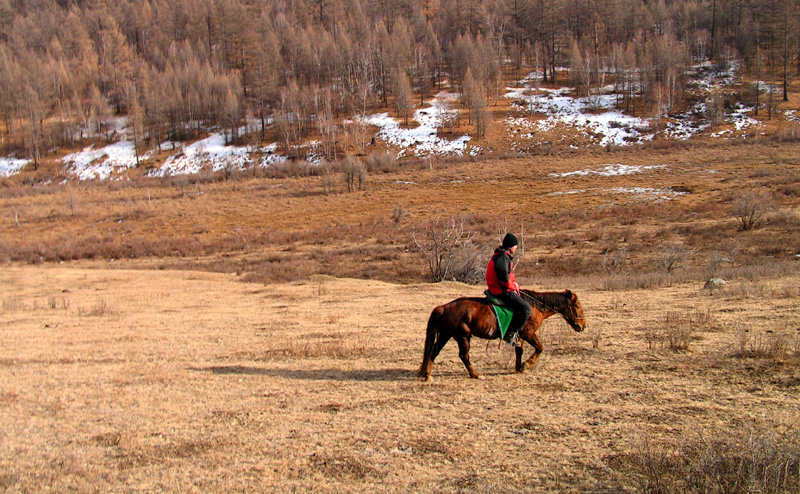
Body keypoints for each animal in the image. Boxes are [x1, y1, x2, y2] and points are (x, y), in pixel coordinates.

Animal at [418, 290, 588, 382]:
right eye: (577, 306)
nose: (583, 325)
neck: (535, 307)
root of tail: (444, 307)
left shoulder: (520, 336)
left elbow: (519, 351)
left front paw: (519, 367)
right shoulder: (528, 333)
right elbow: (539, 348)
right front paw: (527, 364)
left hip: (446, 335)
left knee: (434, 352)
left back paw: (428, 375)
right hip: (463, 337)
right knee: (463, 355)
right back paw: (475, 374)